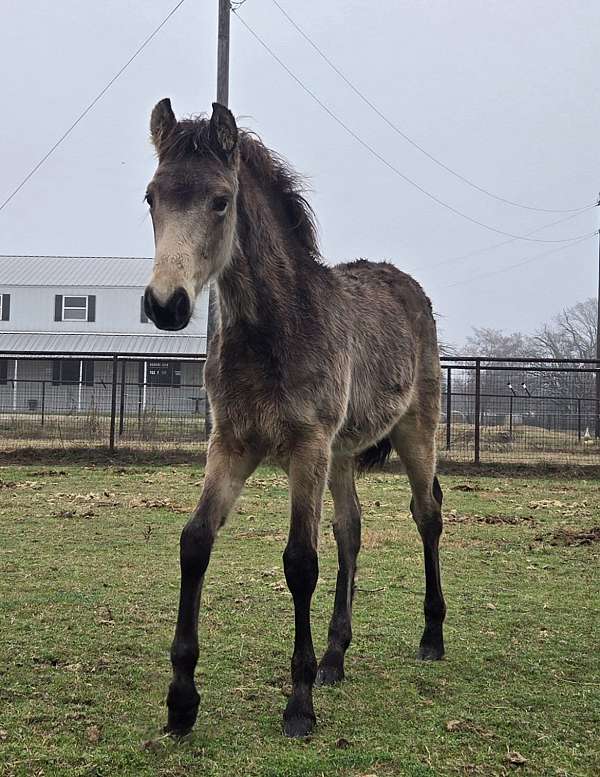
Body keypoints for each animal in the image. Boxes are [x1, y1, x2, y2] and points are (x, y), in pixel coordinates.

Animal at [143, 100, 448, 736]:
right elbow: (195, 541)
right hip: (344, 452)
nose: (166, 304)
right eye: (152, 197)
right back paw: (335, 657)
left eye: (220, 200)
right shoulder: (231, 444)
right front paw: (181, 700)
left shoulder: (306, 447)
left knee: (427, 515)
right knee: (351, 529)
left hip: (415, 430)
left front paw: (299, 703)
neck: (273, 332)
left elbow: (300, 561)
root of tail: (407, 285)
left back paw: (431, 636)